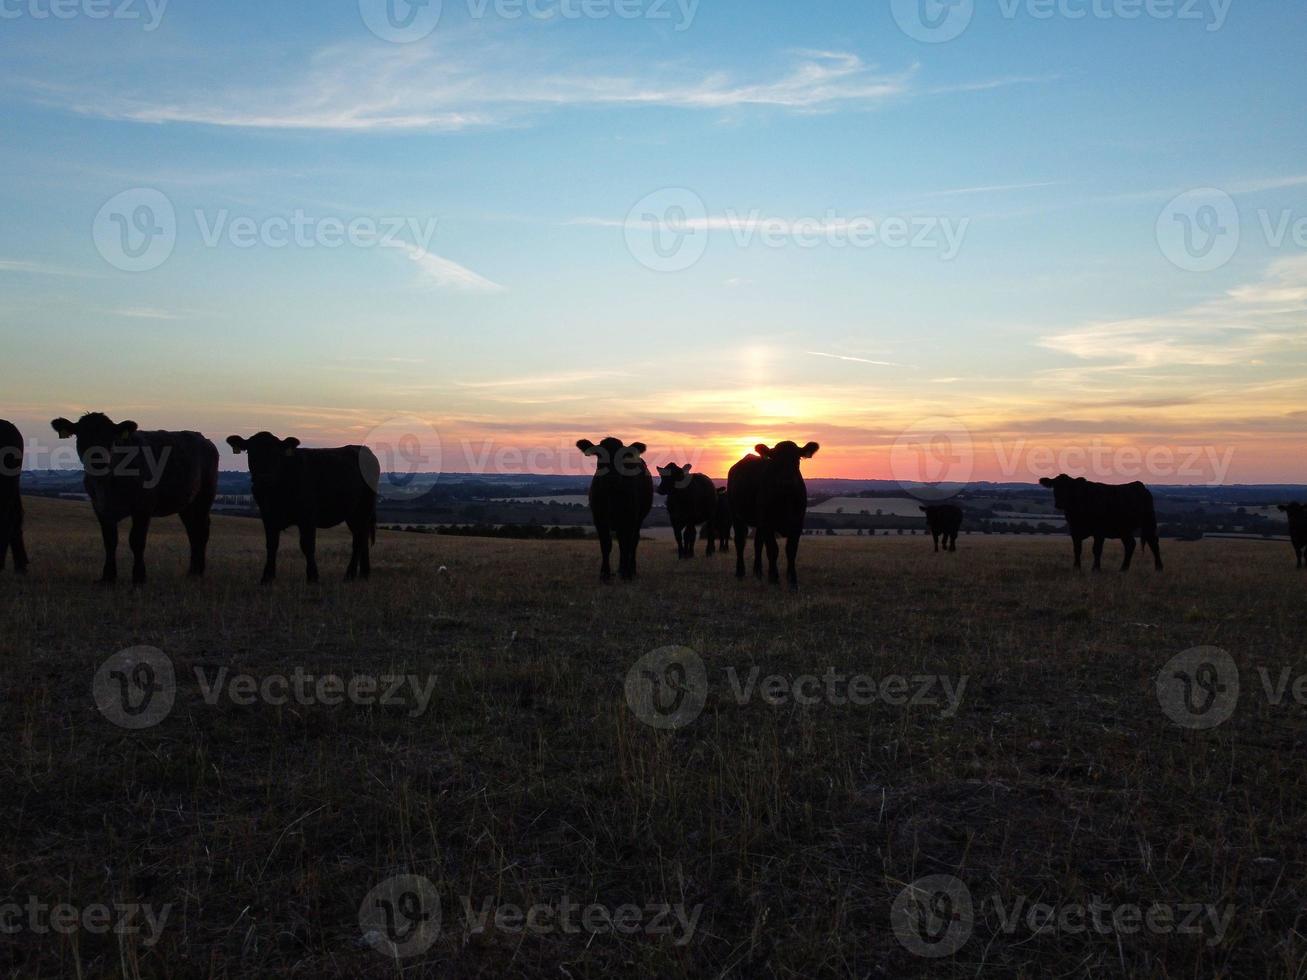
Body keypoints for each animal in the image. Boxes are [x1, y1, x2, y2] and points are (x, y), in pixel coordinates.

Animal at [49, 412, 219, 582]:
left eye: (110, 437)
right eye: (83, 435)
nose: (97, 460)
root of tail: (203, 439)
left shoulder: (143, 507)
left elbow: (136, 540)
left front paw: (139, 577)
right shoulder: (100, 508)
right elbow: (110, 541)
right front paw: (108, 577)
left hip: (204, 497)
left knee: (202, 531)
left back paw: (198, 571)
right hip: (187, 504)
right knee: (192, 530)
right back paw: (193, 571)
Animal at [223, 431, 379, 582]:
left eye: (276, 454)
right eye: (251, 452)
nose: (263, 479)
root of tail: (363, 449)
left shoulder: (307, 516)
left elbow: (307, 545)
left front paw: (312, 577)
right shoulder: (268, 516)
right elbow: (271, 545)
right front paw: (267, 578)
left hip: (362, 509)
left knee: (358, 540)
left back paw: (350, 575)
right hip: (354, 514)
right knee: (362, 537)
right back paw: (364, 574)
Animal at [577, 436, 653, 582]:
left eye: (622, 456)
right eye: (599, 455)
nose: (611, 477)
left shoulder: (630, 518)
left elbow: (627, 544)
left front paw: (627, 574)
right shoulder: (599, 518)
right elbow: (606, 544)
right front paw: (605, 574)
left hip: (639, 518)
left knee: (633, 541)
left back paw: (630, 569)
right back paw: (620, 568)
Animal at [726, 439, 815, 590]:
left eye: (796, 459)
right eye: (775, 461)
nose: (787, 481)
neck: (785, 499)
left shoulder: (797, 523)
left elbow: (791, 550)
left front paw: (792, 581)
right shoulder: (767, 523)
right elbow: (773, 549)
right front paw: (774, 578)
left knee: (757, 543)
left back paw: (758, 573)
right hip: (736, 514)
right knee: (740, 541)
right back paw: (740, 572)